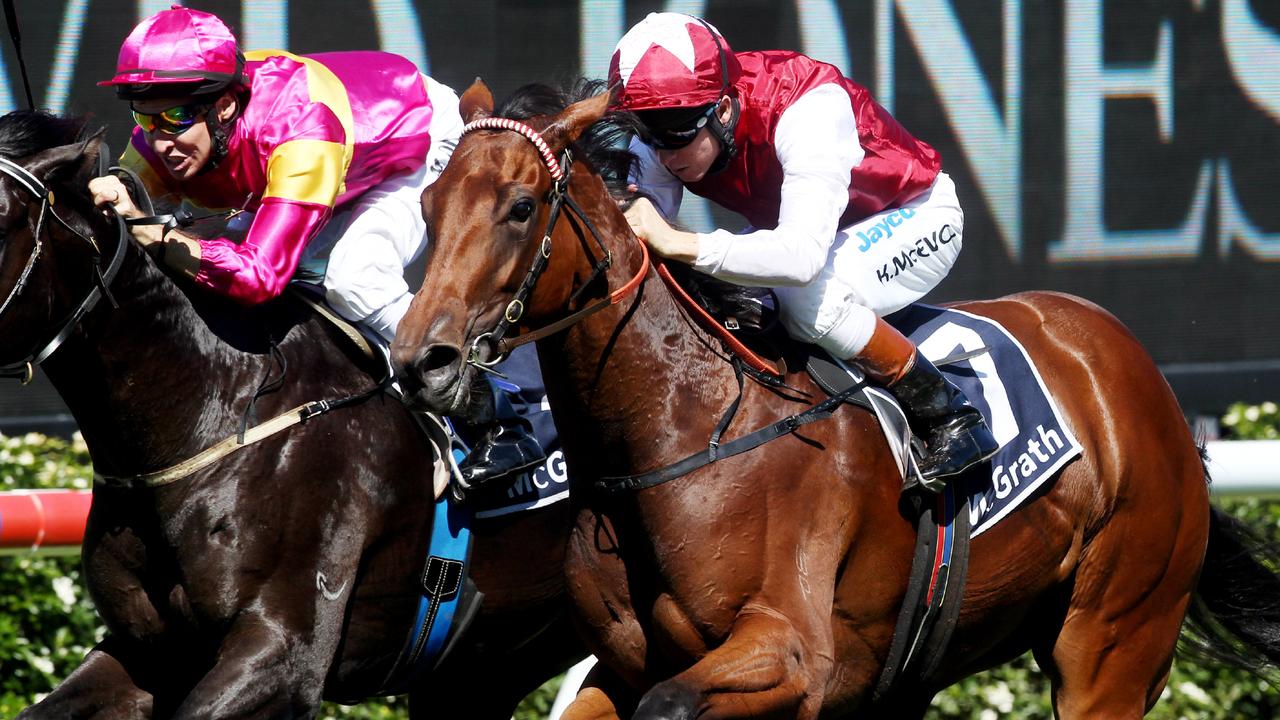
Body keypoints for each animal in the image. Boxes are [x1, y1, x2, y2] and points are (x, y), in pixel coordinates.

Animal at [389, 81, 1280, 712]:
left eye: (521, 207)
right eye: (428, 206)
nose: (420, 361)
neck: (679, 434)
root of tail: (1134, 369)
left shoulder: (791, 655)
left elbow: (676, 704)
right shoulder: (620, 663)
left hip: (1113, 642)